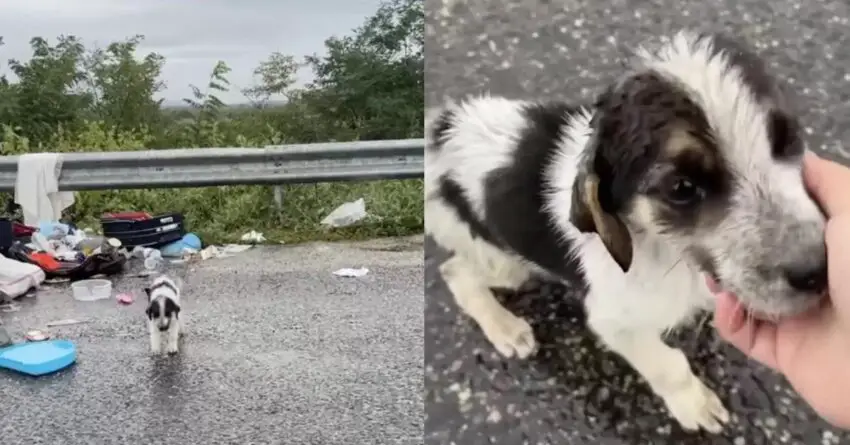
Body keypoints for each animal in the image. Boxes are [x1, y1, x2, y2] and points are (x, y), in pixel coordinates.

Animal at [428, 31, 824, 434]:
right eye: (682, 188)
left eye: (788, 139)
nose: (819, 272)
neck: (666, 249)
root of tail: (440, 131)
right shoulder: (614, 321)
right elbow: (669, 365)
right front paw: (694, 404)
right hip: (504, 262)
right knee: (455, 272)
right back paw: (505, 328)